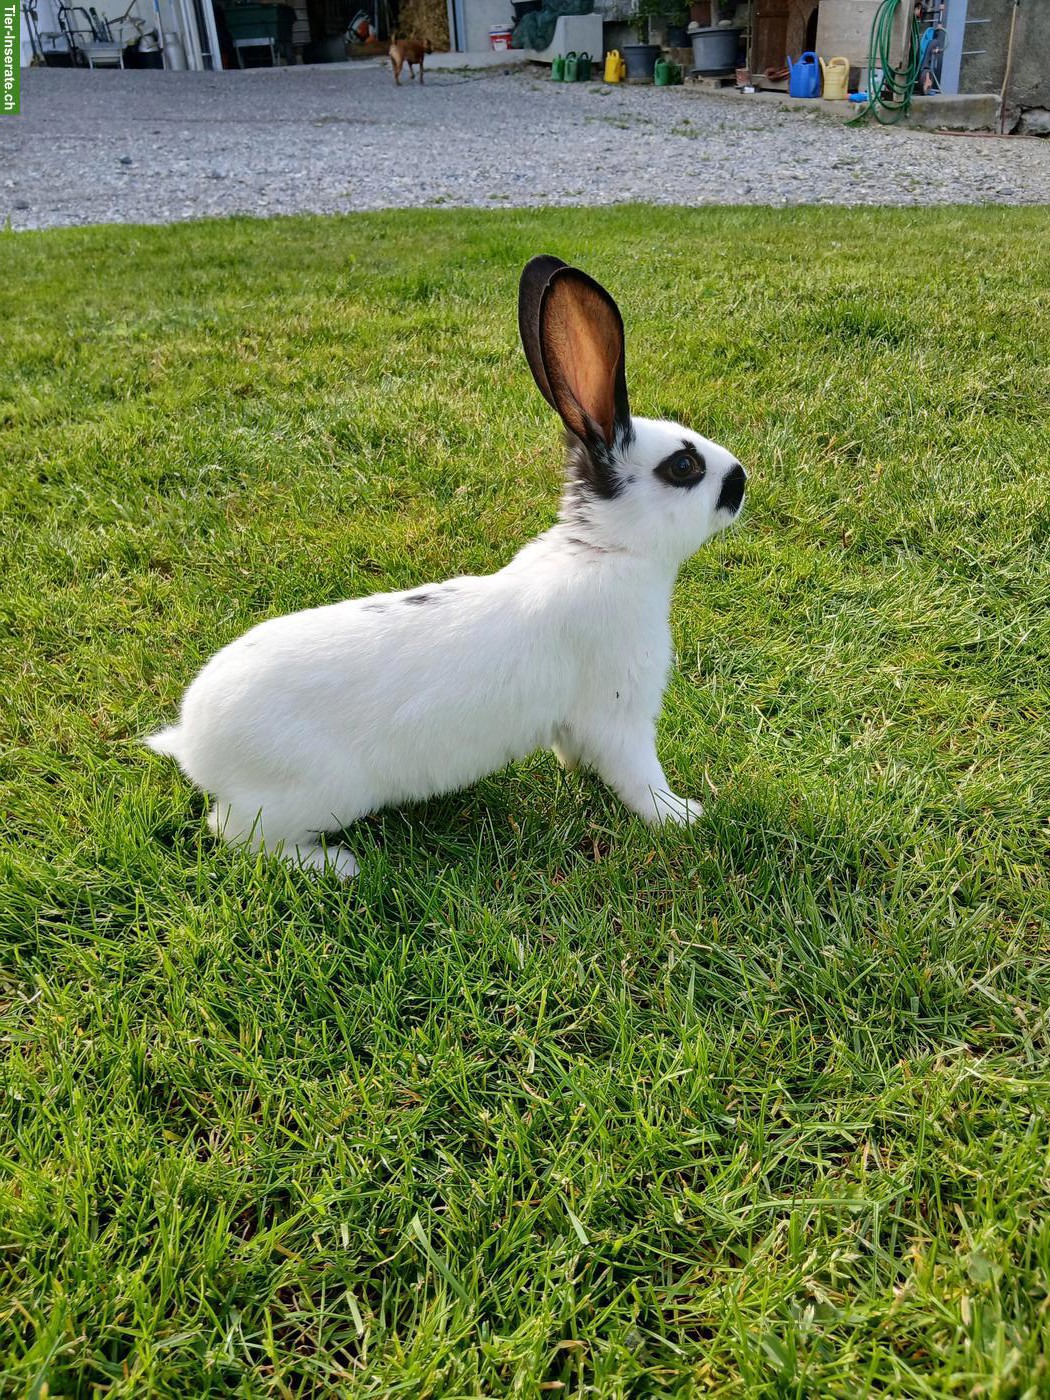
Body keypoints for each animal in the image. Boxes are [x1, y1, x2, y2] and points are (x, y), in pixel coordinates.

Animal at [146, 256, 747, 880]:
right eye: (683, 466)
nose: (742, 481)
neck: (604, 550)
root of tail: (194, 745)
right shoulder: (619, 716)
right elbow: (639, 779)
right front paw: (683, 816)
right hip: (315, 795)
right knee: (236, 834)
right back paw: (337, 865)